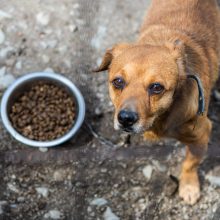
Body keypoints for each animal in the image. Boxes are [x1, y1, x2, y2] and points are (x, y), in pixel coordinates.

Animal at [95, 0, 220, 205]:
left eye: (156, 87)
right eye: (118, 82)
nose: (126, 119)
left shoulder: (201, 135)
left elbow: (190, 164)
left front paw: (188, 185)